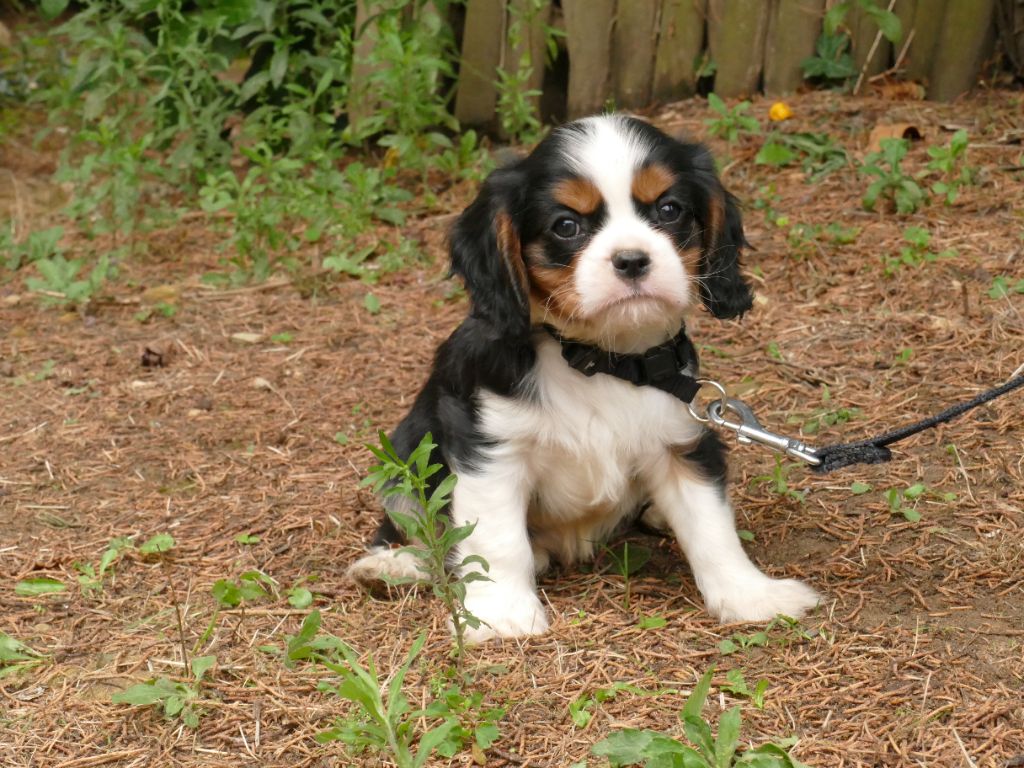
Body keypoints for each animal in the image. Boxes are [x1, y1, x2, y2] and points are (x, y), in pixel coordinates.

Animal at [348, 114, 819, 643]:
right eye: (567, 226)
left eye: (670, 209)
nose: (632, 259)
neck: (599, 359)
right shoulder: (489, 447)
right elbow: (496, 539)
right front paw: (503, 615)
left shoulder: (682, 439)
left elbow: (711, 526)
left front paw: (751, 596)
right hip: (406, 448)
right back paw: (393, 566)